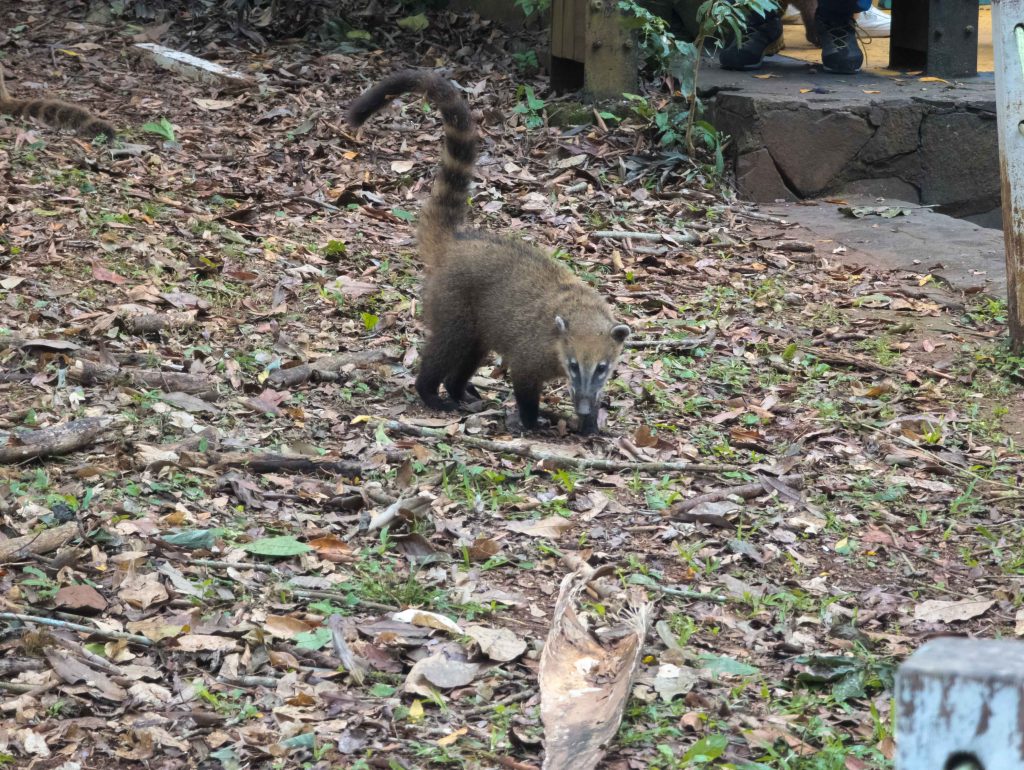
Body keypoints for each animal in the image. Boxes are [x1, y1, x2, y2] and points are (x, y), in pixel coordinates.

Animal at [347, 71, 630, 435]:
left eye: (602, 368)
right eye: (573, 365)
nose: (581, 408)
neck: (578, 314)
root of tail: (455, 241)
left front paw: (590, 422)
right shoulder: (530, 353)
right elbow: (523, 384)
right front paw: (532, 421)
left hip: (479, 326)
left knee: (471, 356)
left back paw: (458, 389)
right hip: (452, 307)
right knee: (446, 348)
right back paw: (431, 392)